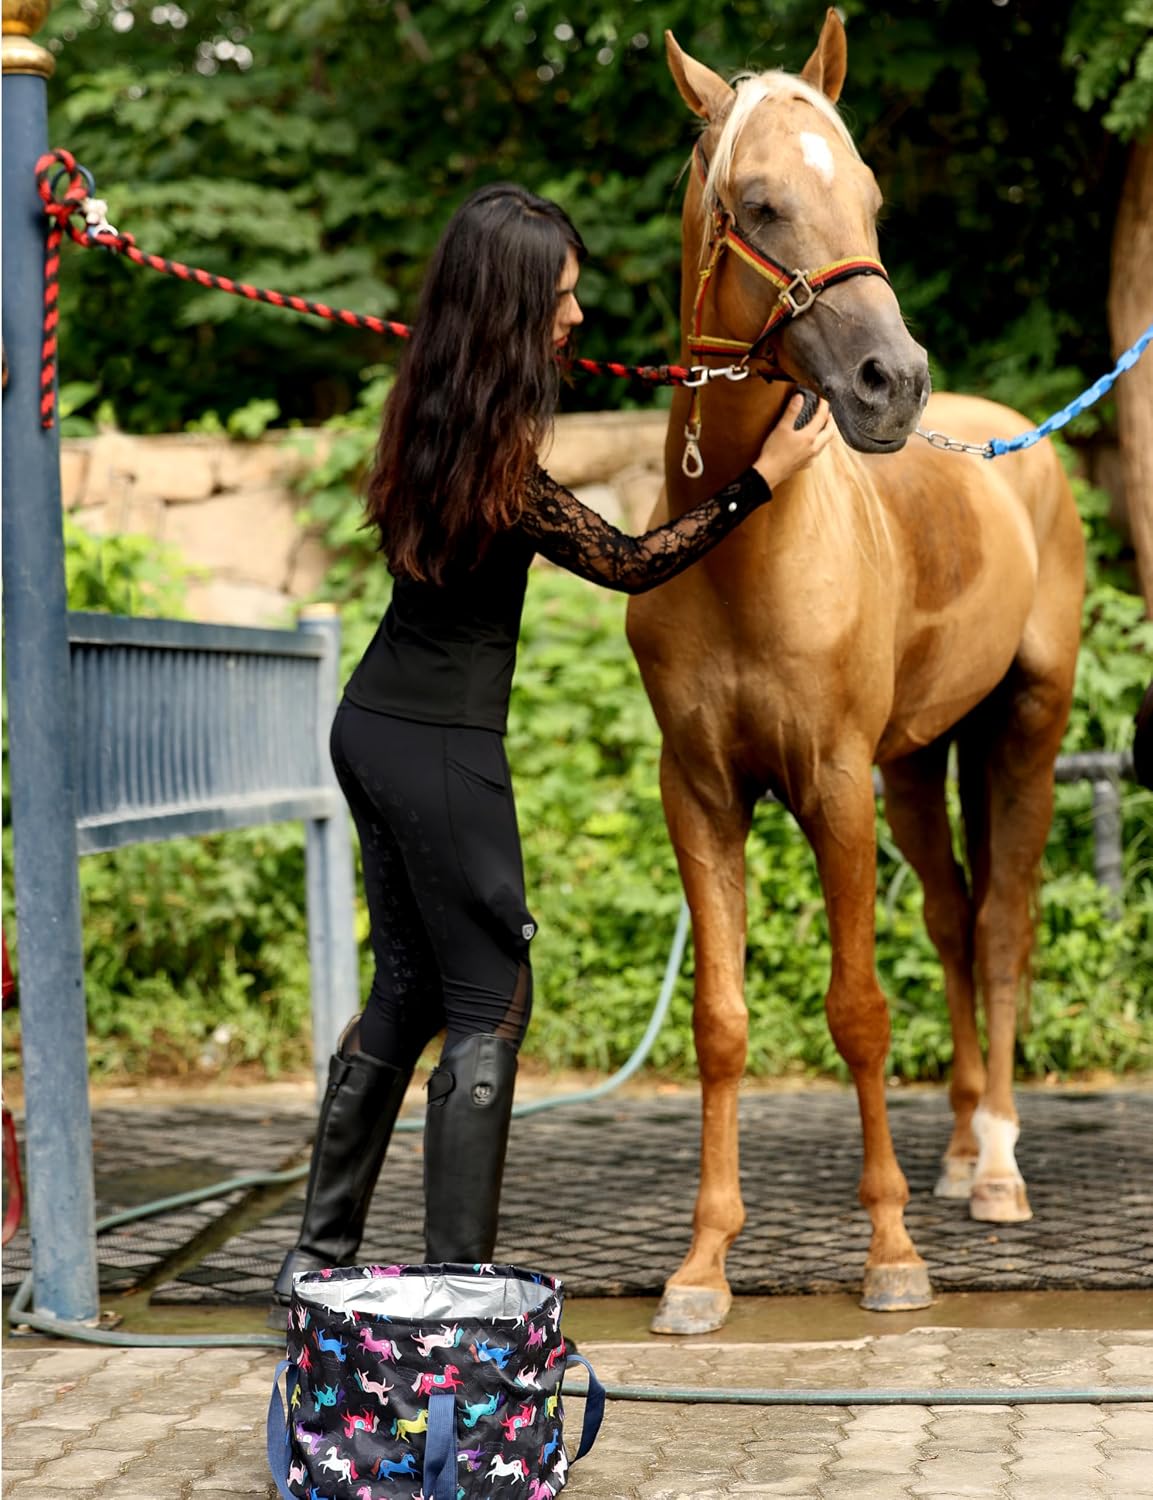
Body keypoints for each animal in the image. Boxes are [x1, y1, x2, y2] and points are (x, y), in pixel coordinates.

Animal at [625, 9, 1084, 1335]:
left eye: (871, 197)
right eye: (762, 204)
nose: (893, 383)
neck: (744, 545)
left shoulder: (830, 786)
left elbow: (859, 1010)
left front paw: (890, 1254)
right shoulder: (701, 794)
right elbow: (721, 1023)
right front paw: (701, 1268)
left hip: (1024, 729)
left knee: (1002, 924)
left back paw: (996, 1170)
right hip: (919, 766)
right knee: (952, 916)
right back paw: (958, 1152)